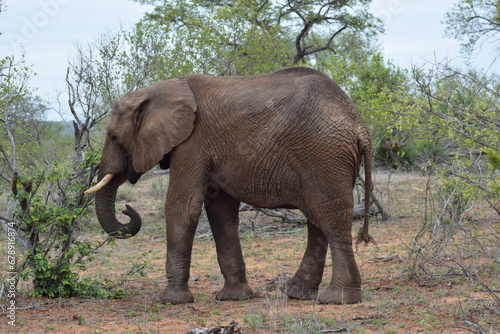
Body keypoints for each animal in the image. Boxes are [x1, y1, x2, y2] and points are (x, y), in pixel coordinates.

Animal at [86, 67, 374, 306]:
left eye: (114, 137)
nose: (127, 209)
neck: (161, 89)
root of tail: (360, 124)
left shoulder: (192, 143)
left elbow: (183, 207)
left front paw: (171, 301)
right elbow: (220, 212)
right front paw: (234, 297)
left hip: (324, 156)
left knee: (331, 218)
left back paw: (337, 300)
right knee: (318, 220)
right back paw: (295, 294)